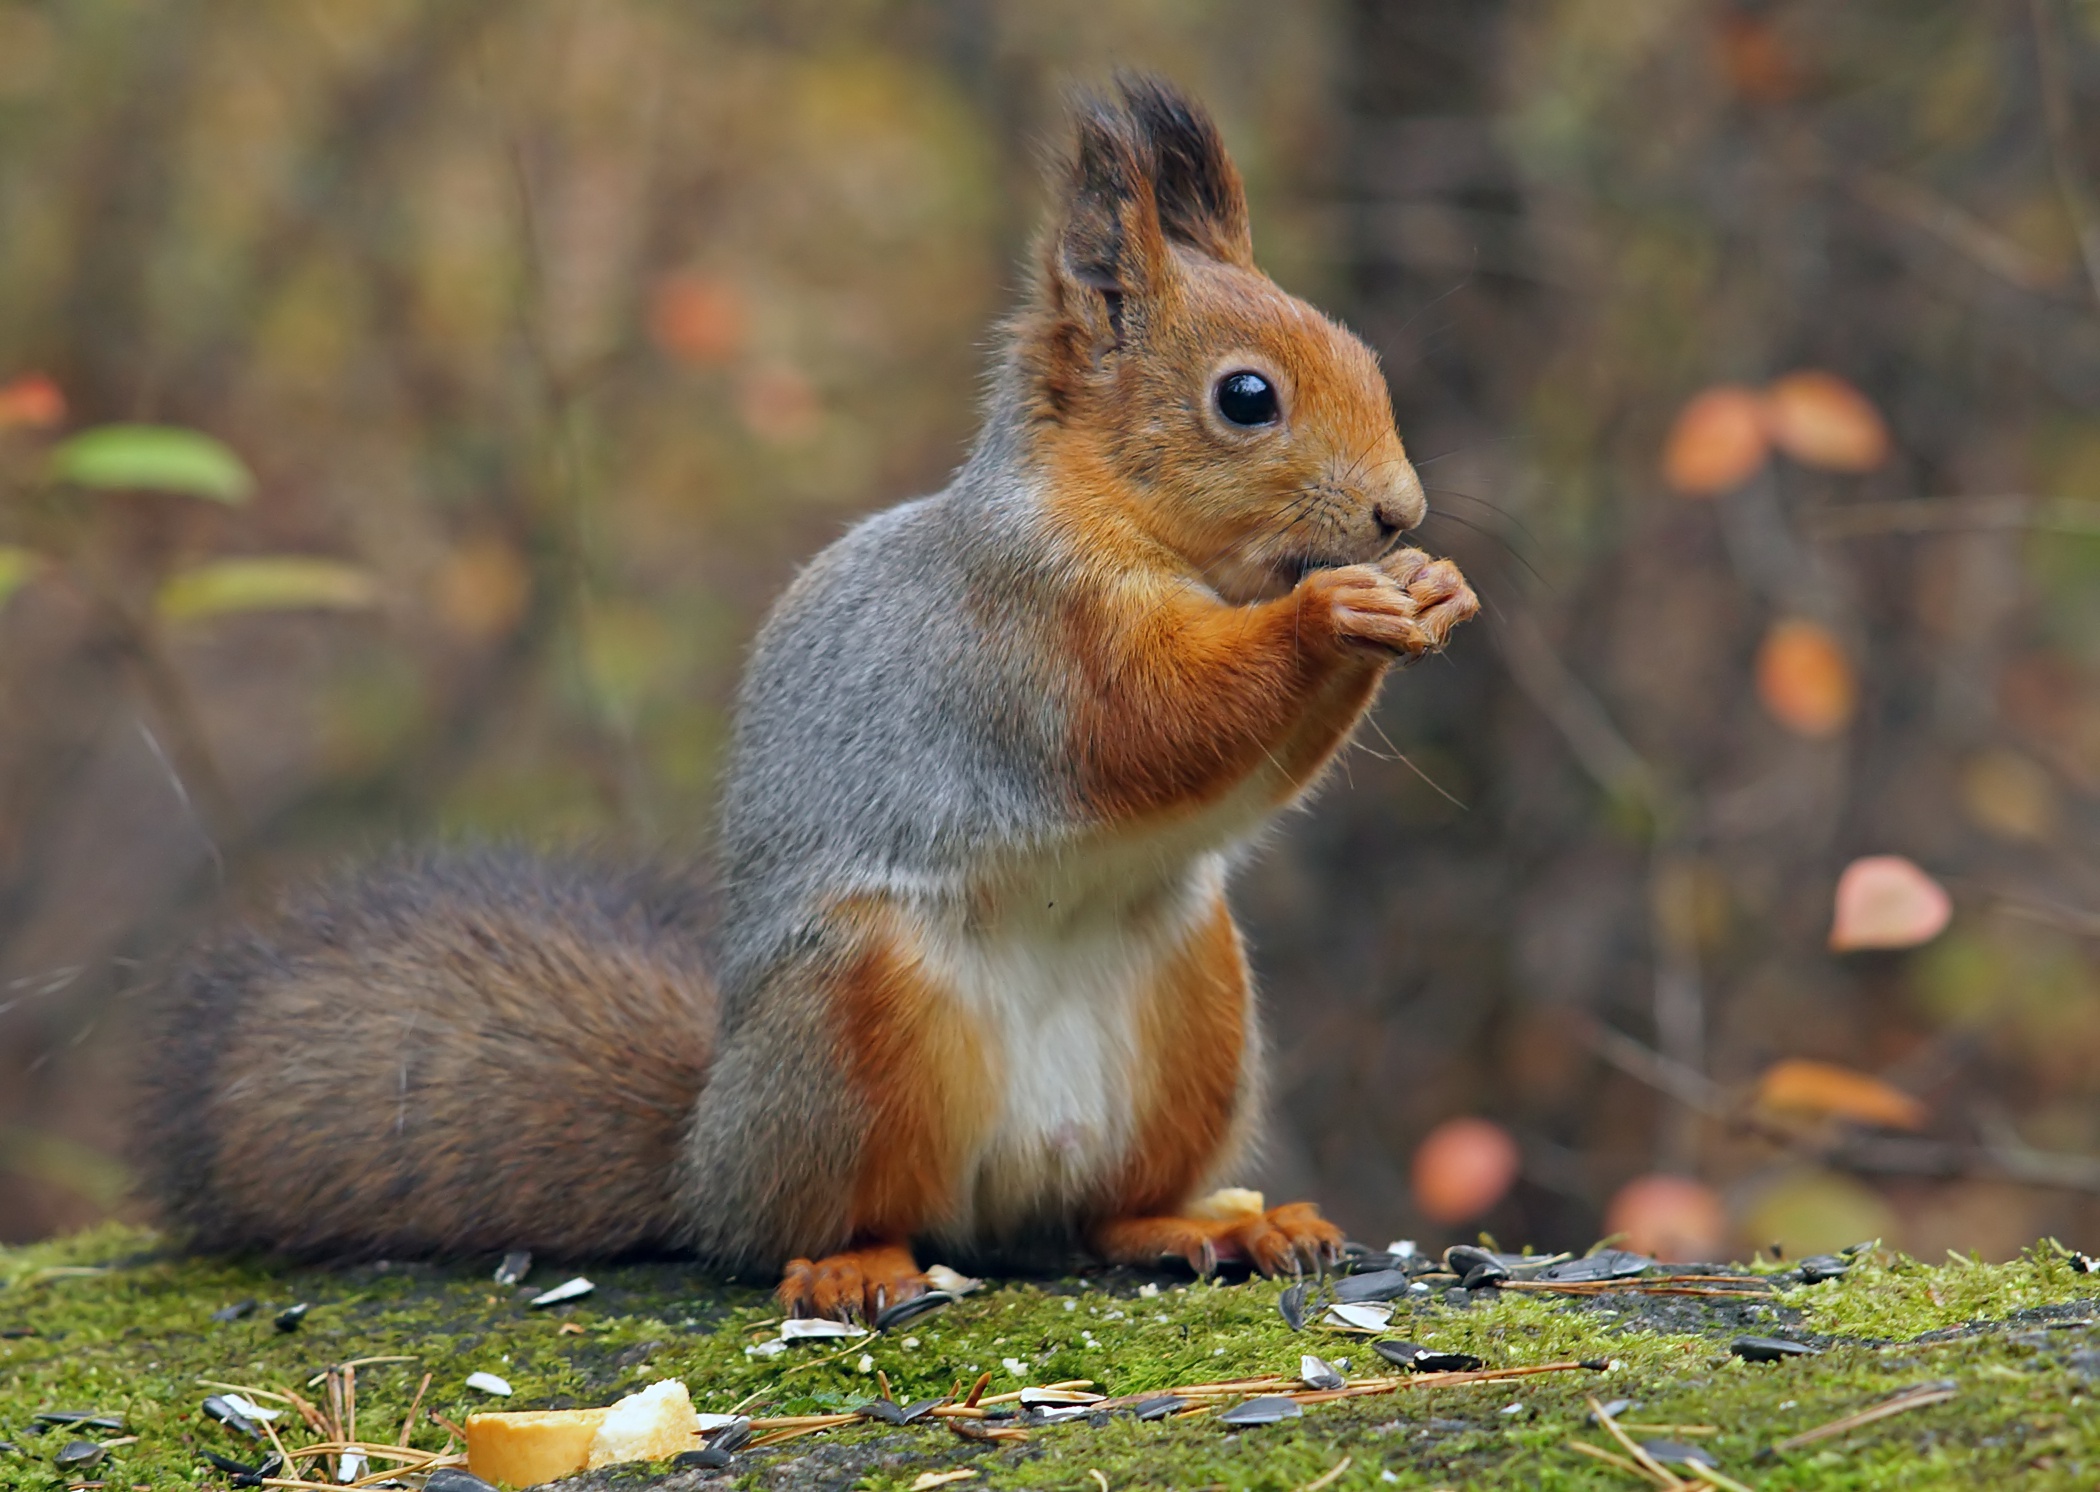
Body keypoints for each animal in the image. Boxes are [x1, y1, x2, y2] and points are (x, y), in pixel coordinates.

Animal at [131, 78, 1478, 1319]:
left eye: (1363, 357)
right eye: (1246, 397)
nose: (1399, 511)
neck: (1136, 528)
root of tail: (703, 1160)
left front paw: (1432, 587)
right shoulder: (1029, 643)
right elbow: (1156, 721)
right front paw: (1332, 610)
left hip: (1195, 1002)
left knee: (1098, 1214)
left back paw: (1214, 1224)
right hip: (855, 1019)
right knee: (818, 1218)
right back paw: (853, 1264)